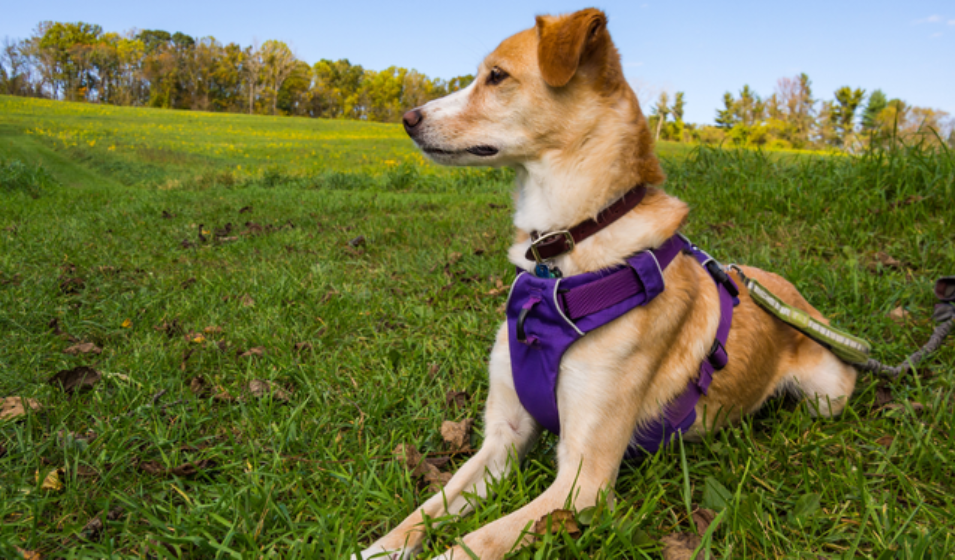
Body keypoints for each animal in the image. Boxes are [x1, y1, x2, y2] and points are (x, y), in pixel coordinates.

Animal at [354, 6, 856, 556]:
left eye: (497, 76)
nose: (407, 119)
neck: (563, 254)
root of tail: (790, 294)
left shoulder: (582, 482)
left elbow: (476, 541)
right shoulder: (503, 439)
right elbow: (426, 510)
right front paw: (377, 546)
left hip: (827, 396)